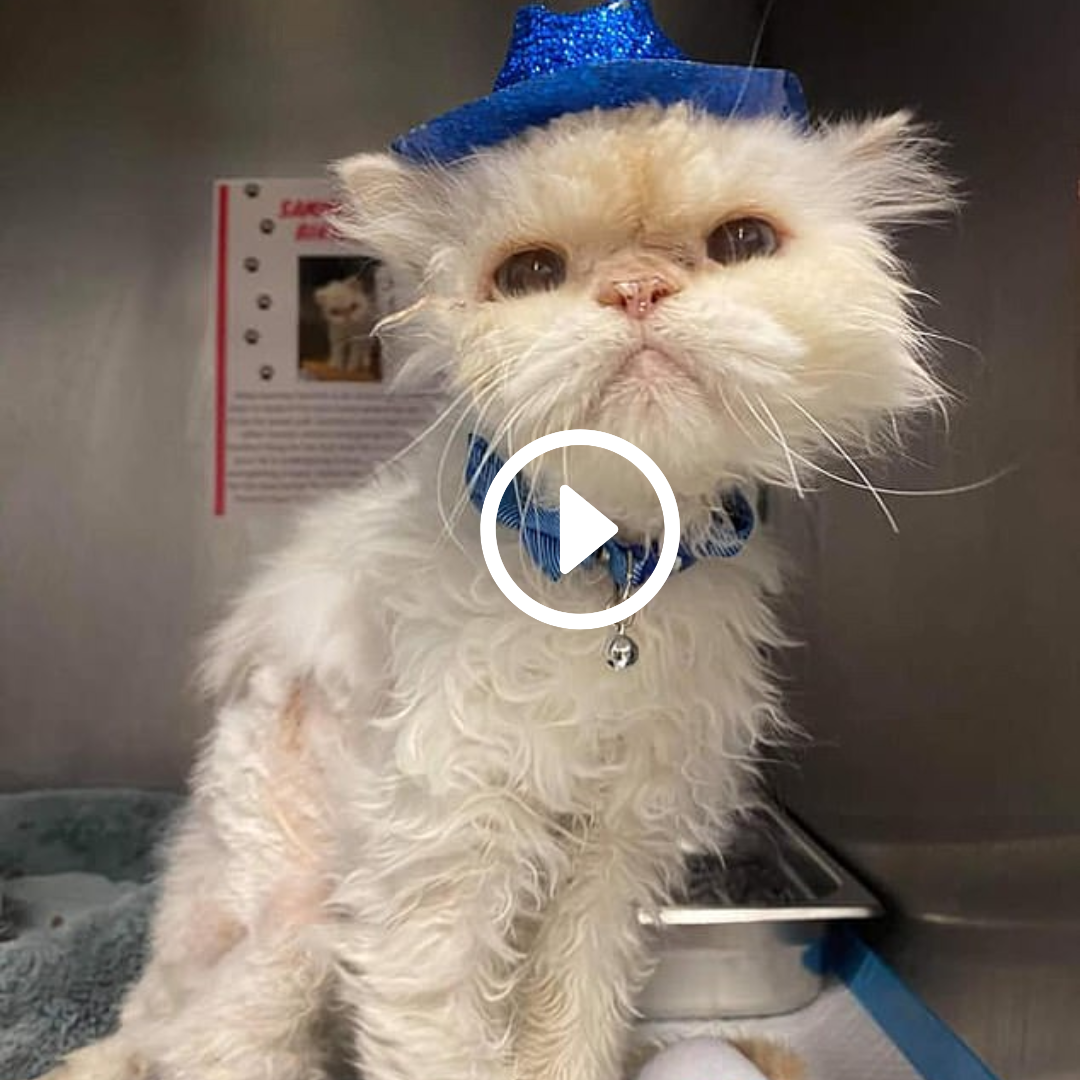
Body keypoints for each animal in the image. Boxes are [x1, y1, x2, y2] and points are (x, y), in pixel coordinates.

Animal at [46, 101, 950, 1080]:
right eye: (532, 273)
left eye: (743, 240)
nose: (637, 289)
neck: (604, 572)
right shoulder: (437, 869)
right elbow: (439, 1041)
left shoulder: (615, 854)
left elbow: (574, 1018)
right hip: (289, 938)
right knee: (204, 1045)